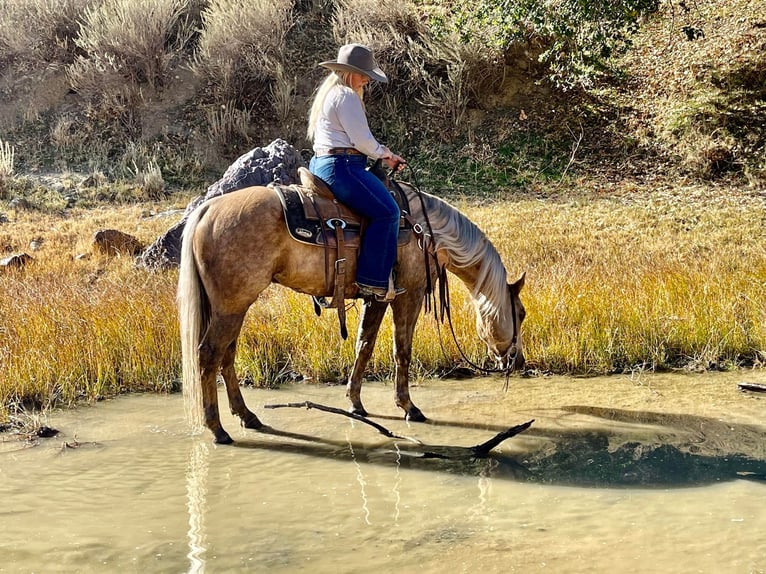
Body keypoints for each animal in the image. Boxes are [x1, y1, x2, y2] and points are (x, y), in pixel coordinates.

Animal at [177, 177, 524, 446]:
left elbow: (364, 346)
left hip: (232, 307)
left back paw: (248, 417)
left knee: (227, 355)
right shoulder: (408, 297)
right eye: (520, 313)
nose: (518, 361)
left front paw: (356, 403)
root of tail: (207, 210)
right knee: (209, 354)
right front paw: (408, 407)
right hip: (231, 307)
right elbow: (402, 351)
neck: (425, 232)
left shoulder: (378, 298)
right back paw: (218, 430)